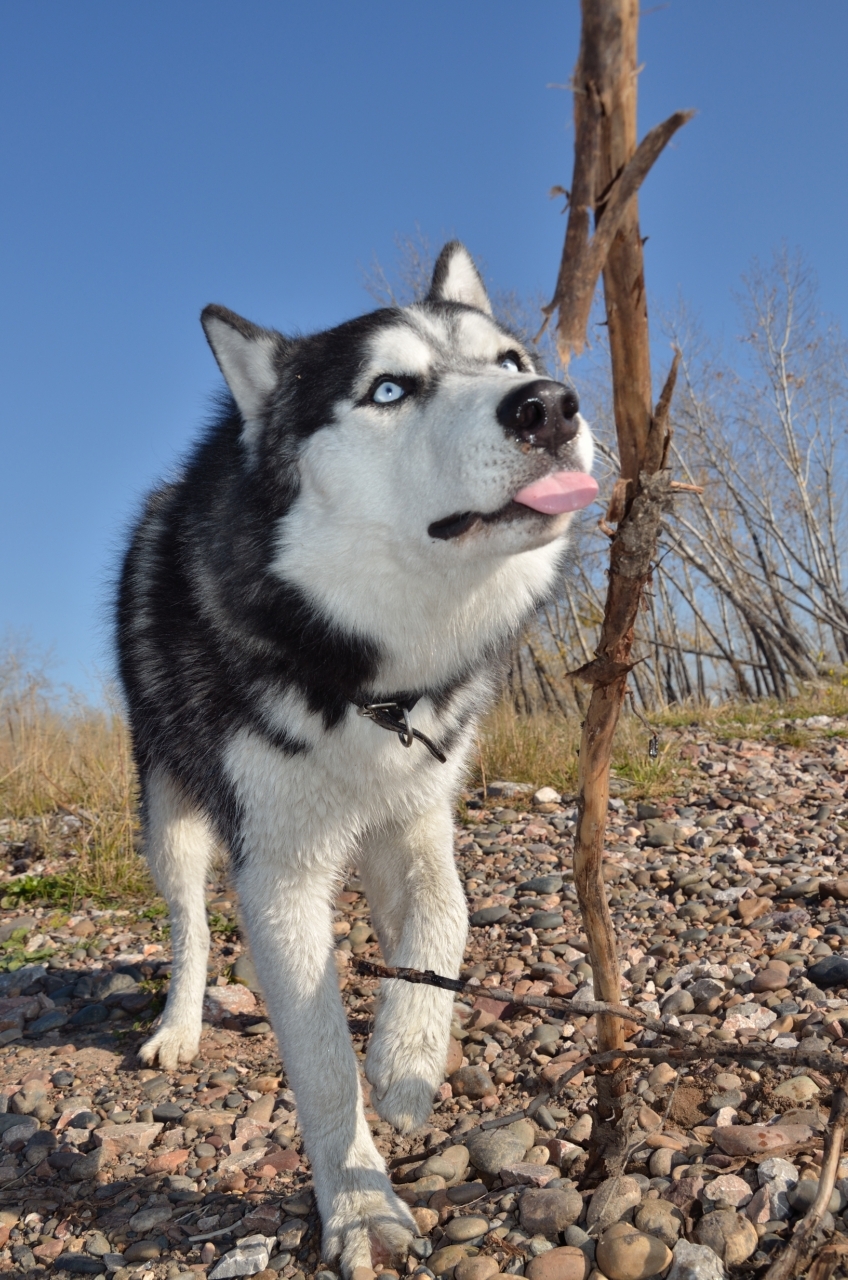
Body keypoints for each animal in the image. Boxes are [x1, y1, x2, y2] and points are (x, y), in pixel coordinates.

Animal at [117, 244, 596, 1274]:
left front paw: (409, 1062)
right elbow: (324, 1066)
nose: (549, 404)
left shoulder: (416, 815)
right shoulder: (276, 871)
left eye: (509, 359)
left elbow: (449, 917)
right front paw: (362, 1208)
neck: (362, 673)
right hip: (172, 819)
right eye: (388, 389)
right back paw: (179, 1025)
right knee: (188, 927)